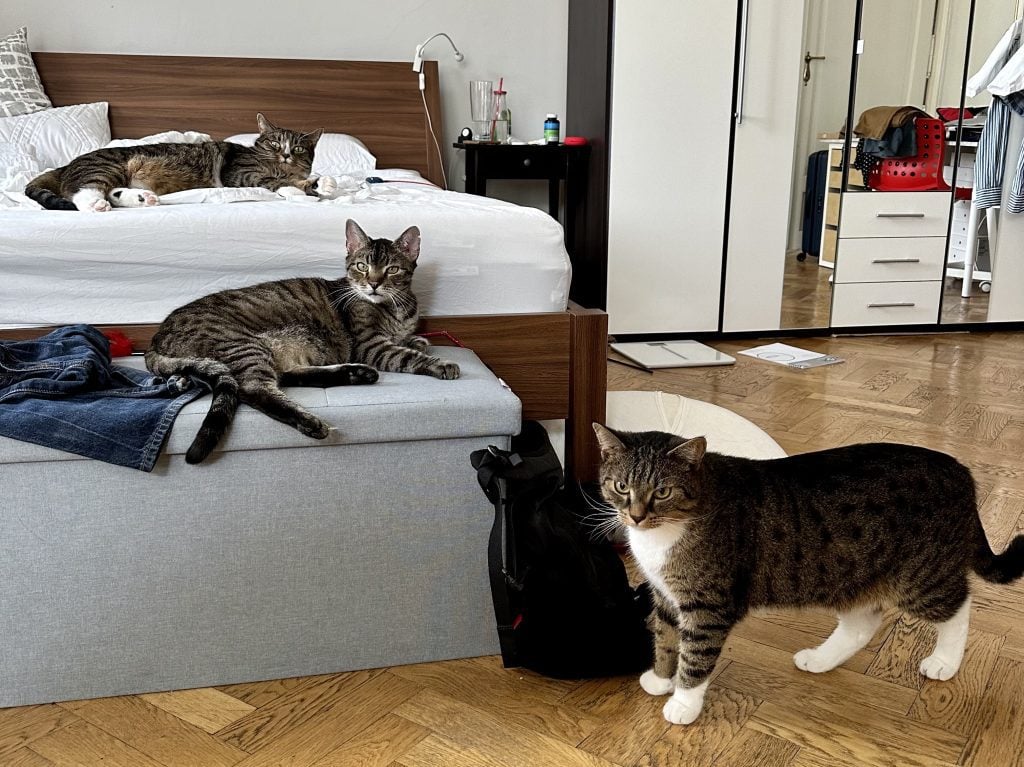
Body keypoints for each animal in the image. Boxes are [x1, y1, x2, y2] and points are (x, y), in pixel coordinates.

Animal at [24, 112, 335, 211]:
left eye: (298, 148)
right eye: (274, 143)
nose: (285, 154)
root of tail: (66, 165)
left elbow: (305, 179)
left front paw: (323, 183)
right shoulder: (241, 173)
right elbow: (273, 180)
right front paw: (296, 188)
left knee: (113, 192)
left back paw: (141, 198)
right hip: (107, 166)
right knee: (82, 192)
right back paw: (95, 204)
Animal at [145, 218, 460, 462]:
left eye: (392, 269)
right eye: (361, 266)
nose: (373, 284)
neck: (397, 306)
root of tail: (156, 337)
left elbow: (409, 341)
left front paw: (417, 340)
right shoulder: (370, 346)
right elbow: (407, 356)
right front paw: (440, 363)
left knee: (286, 376)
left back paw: (355, 374)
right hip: (242, 344)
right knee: (253, 388)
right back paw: (310, 420)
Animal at [593, 423, 1024, 725]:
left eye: (663, 492)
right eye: (620, 486)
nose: (636, 516)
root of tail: (960, 470)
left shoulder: (708, 604)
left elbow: (695, 656)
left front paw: (683, 703)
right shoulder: (665, 596)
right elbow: (666, 640)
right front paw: (661, 679)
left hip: (920, 576)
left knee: (958, 606)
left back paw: (944, 662)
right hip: (849, 574)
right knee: (863, 623)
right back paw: (820, 660)